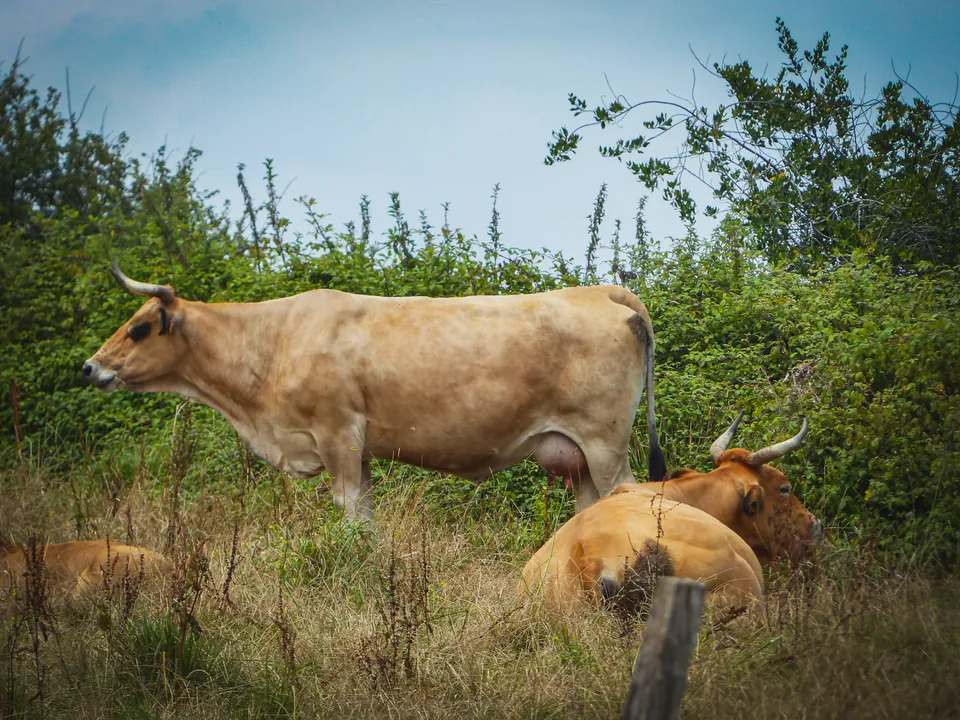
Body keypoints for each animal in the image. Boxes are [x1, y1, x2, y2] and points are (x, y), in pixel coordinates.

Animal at [83, 263, 667, 523]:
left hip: (605, 444)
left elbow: (350, 518)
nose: (90, 367)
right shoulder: (358, 449)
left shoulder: (336, 434)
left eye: (139, 328)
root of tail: (600, 291)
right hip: (577, 455)